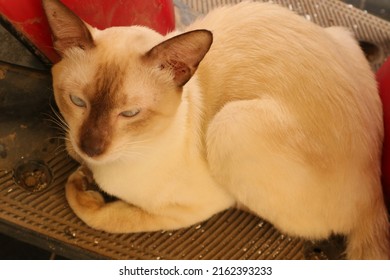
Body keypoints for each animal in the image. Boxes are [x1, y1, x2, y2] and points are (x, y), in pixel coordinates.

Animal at [41, 0, 388, 260]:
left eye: (130, 113)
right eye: (77, 101)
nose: (91, 147)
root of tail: (376, 188)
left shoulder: (195, 206)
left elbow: (102, 215)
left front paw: (84, 187)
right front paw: (83, 171)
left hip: (231, 123)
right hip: (339, 35)